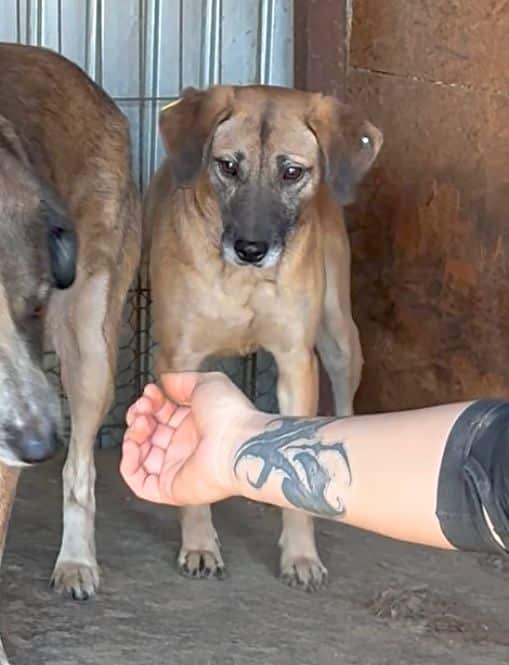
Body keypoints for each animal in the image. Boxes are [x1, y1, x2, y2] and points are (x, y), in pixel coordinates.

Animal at [144, 85, 382, 590]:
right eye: (227, 166)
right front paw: (199, 543)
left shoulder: (296, 362)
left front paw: (301, 553)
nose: (251, 248)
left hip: (340, 338)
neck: (245, 281)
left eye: (291, 172)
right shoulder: (180, 359)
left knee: (344, 400)